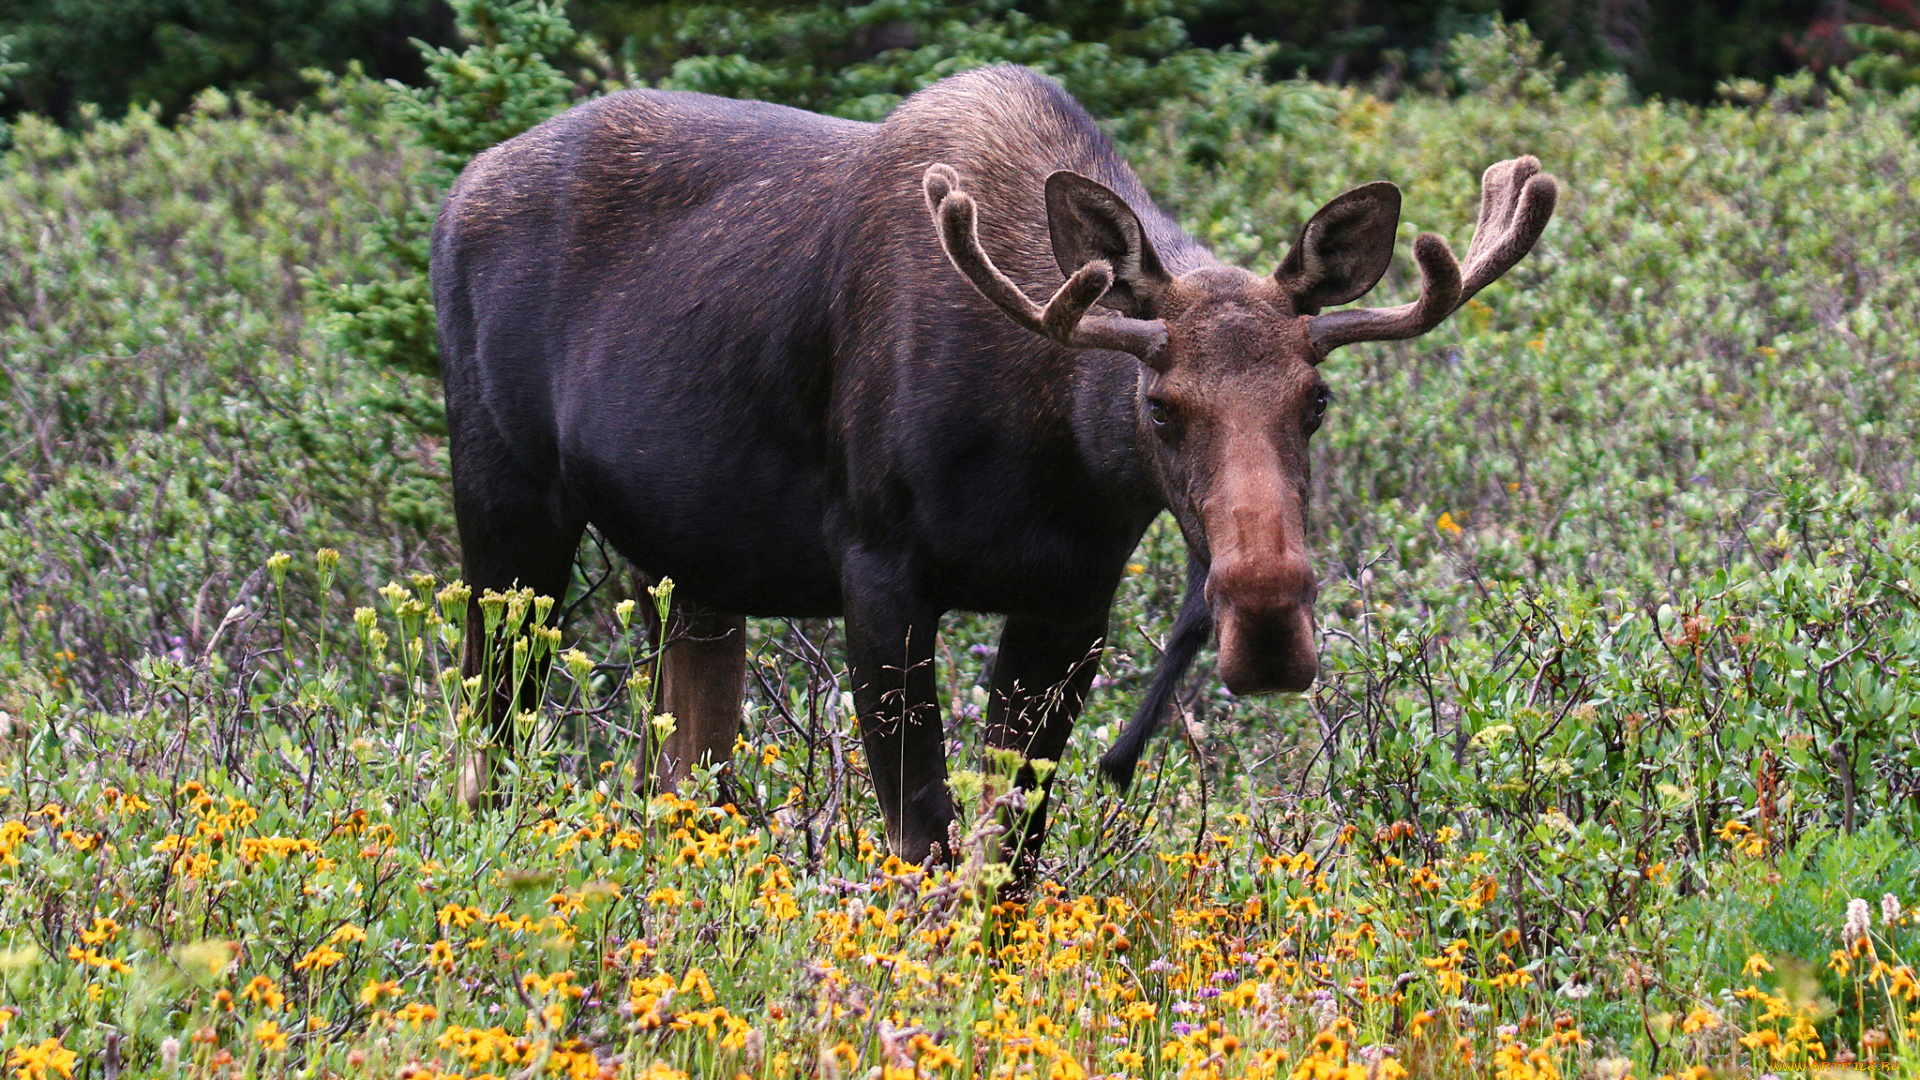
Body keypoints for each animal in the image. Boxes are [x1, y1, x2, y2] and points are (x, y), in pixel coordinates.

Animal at [435, 61, 1559, 876]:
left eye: (1316, 403)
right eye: (1160, 406)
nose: (1270, 621)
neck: (1053, 455)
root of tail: (458, 188)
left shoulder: (1072, 599)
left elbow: (1009, 859)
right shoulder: (878, 568)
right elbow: (926, 846)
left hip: (687, 571)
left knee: (681, 776)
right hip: (507, 506)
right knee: (491, 745)